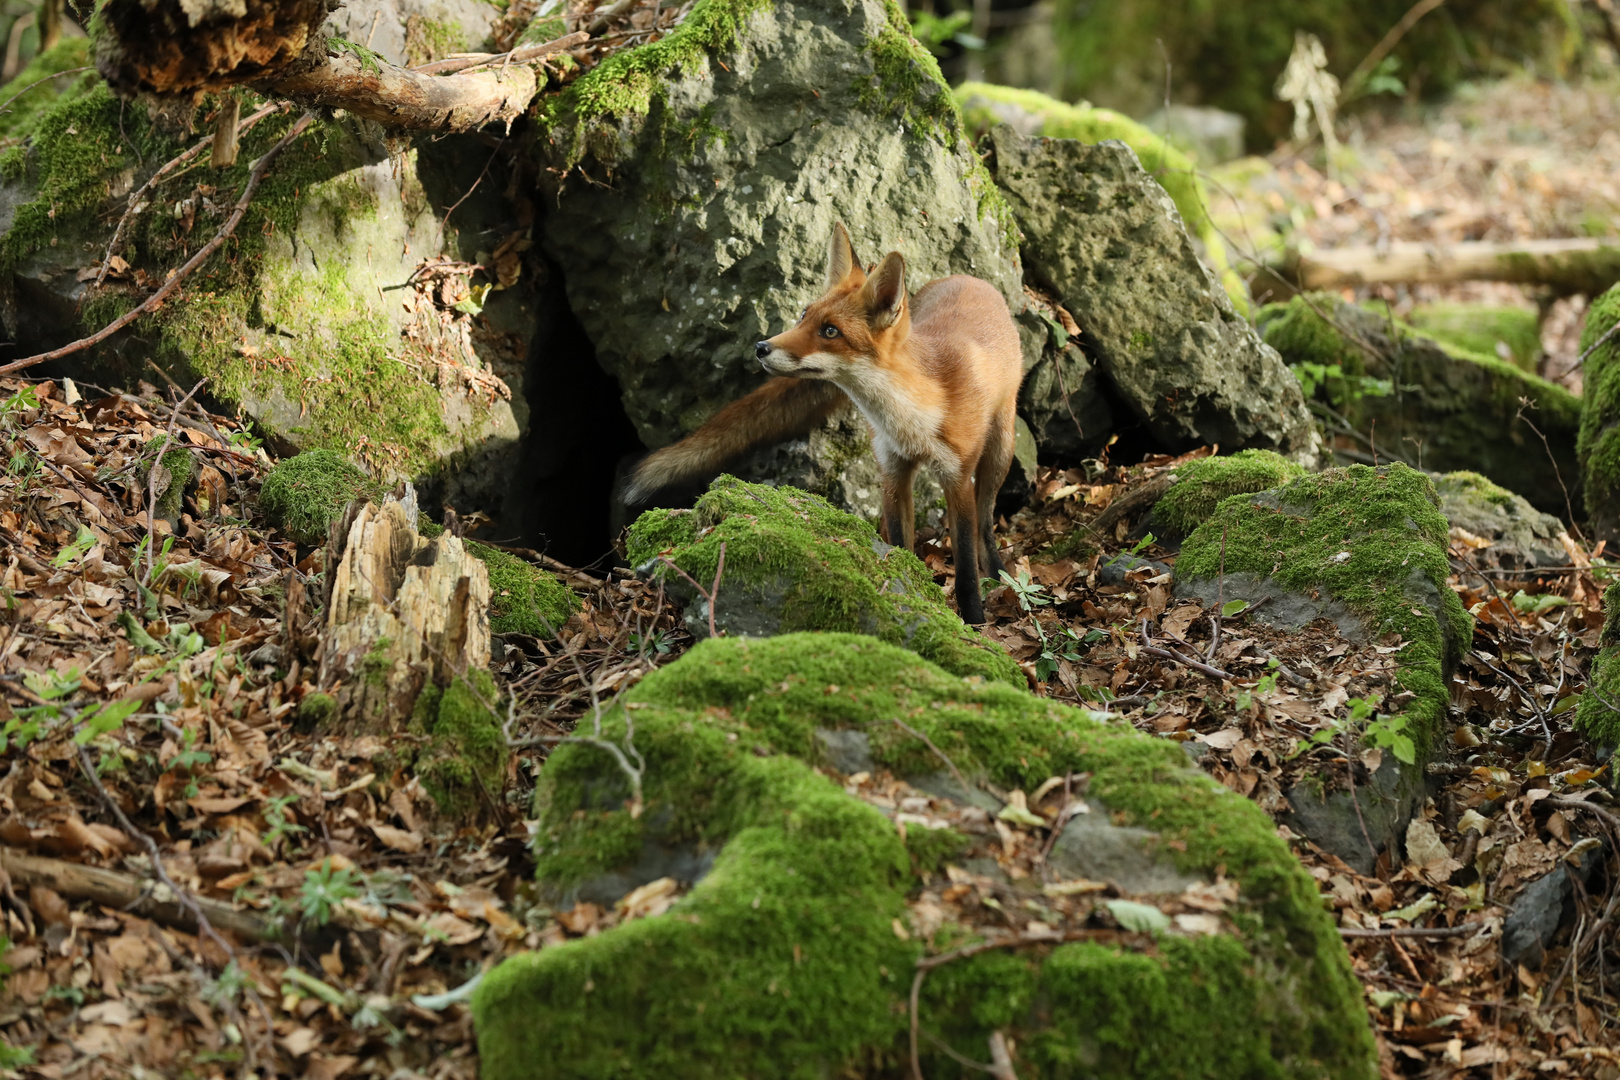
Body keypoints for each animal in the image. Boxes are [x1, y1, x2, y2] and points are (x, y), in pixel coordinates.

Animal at [622, 221, 1023, 625]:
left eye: (831, 331)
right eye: (803, 315)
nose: (761, 347)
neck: (912, 418)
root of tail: (970, 278)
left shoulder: (957, 477)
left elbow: (966, 571)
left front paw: (974, 620)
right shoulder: (893, 472)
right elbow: (899, 545)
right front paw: (913, 590)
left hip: (1000, 451)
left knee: (986, 523)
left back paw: (999, 574)